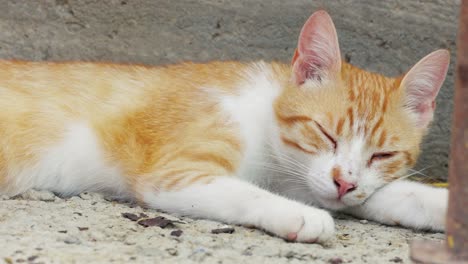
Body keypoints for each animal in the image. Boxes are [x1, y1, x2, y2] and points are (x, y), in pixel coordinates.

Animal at [0, 10, 450, 242]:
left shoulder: (319, 182)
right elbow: (244, 192)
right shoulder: (175, 173)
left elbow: (396, 195)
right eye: (325, 133)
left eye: (383, 154)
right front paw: (301, 215)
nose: (344, 182)